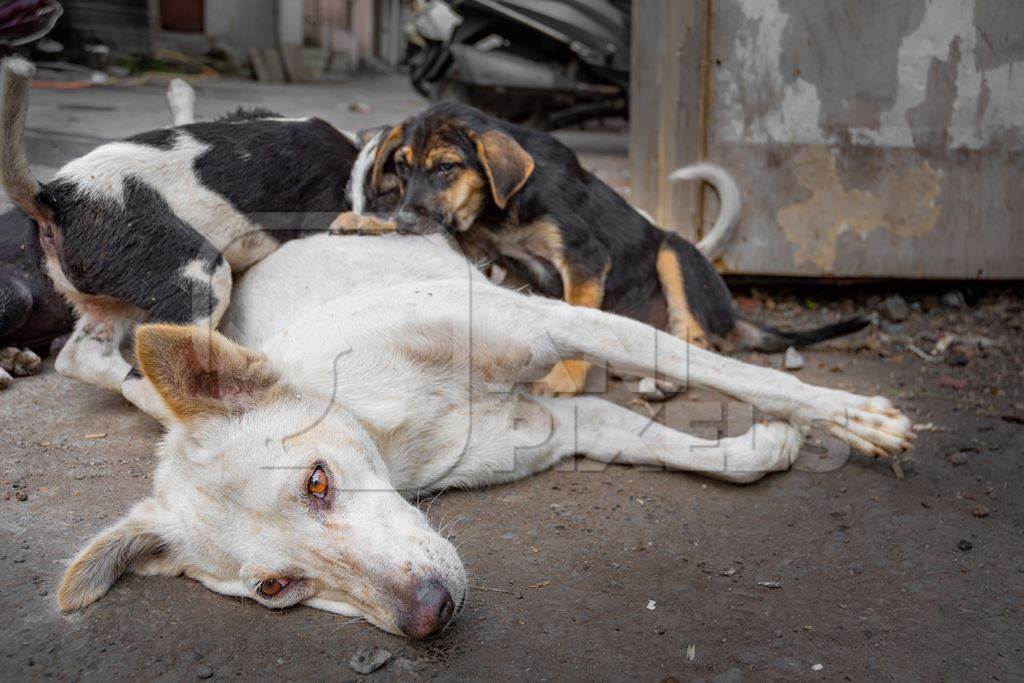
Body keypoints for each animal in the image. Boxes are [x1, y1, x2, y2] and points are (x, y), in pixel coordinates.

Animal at [0, 58, 360, 413]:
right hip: (192, 270)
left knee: (82, 357)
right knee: (140, 381)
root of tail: (53, 198)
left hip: (111, 294)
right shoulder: (322, 207)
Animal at [56, 232, 917, 638]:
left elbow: (741, 376)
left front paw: (849, 417)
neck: (394, 412)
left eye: (318, 480)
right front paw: (762, 447)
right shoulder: (560, 427)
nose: (429, 615)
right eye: (276, 588)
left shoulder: (560, 324)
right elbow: (687, 450)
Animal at [354, 101, 872, 395]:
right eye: (401, 168)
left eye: (446, 167)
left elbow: (579, 324)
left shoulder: (583, 260)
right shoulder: (486, 252)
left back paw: (664, 377)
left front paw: (565, 380)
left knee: (698, 339)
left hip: (673, 252)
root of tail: (732, 316)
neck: (501, 211)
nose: (404, 221)